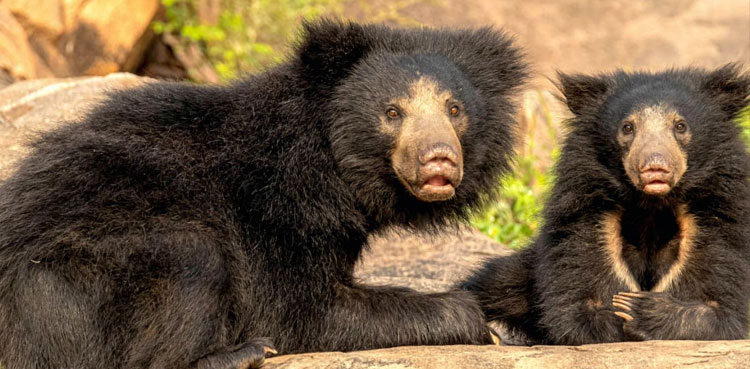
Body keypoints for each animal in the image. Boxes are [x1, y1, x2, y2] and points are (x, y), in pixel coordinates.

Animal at [0, 19, 528, 368]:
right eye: (392, 112)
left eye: (454, 109)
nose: (439, 159)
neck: (328, 162)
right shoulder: (279, 209)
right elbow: (299, 312)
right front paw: (479, 322)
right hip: (76, 277)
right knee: (192, 257)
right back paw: (237, 354)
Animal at [464, 64, 750, 344]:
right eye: (627, 127)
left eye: (680, 126)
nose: (655, 166)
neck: (652, 206)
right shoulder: (586, 216)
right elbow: (574, 305)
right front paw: (621, 309)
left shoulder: (717, 219)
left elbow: (725, 306)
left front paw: (640, 310)